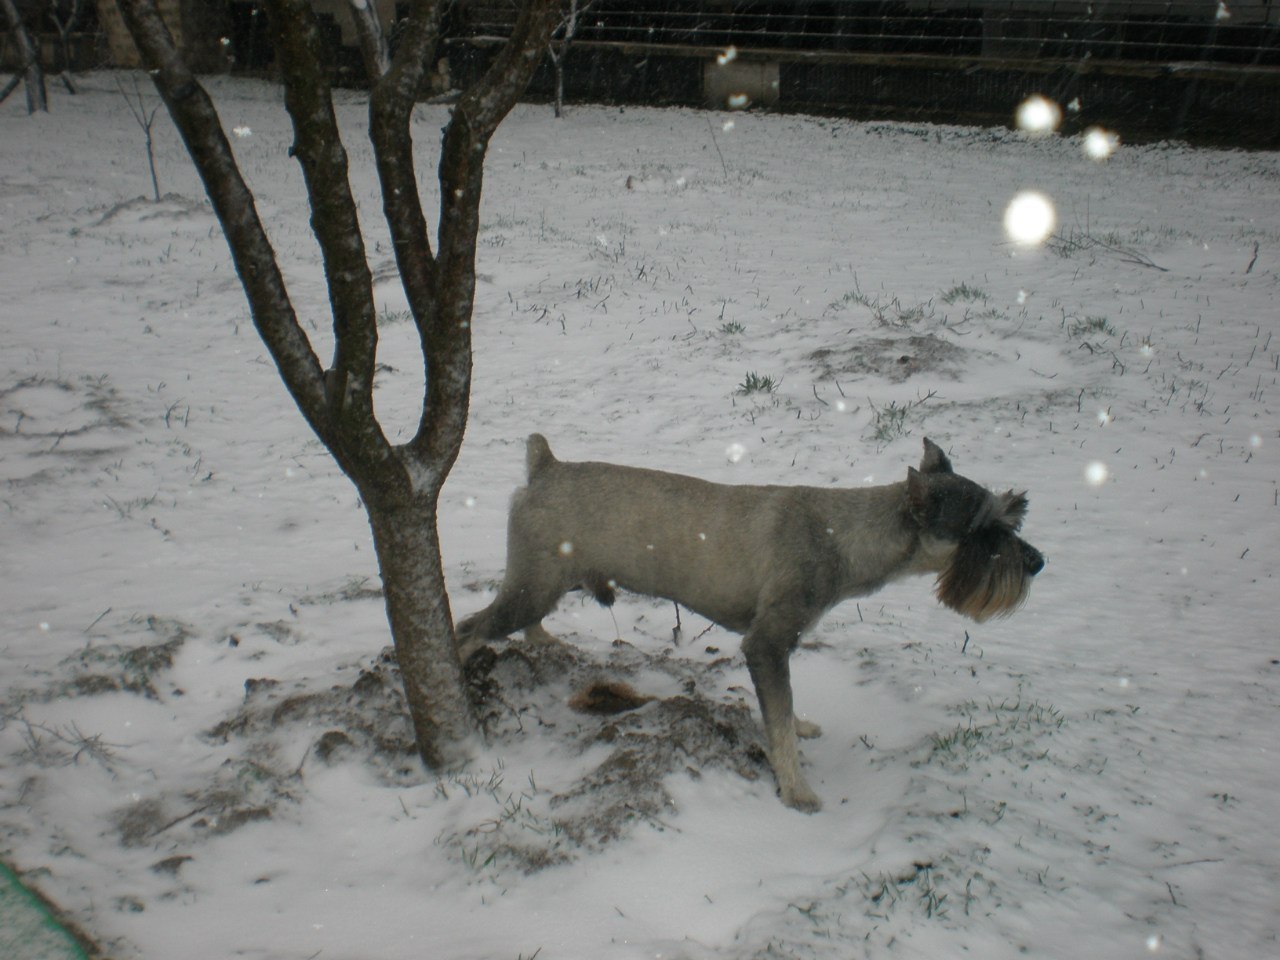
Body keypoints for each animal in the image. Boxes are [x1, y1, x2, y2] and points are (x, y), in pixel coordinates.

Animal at [455, 435, 1044, 814]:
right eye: (983, 532)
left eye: (1010, 518)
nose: (1037, 562)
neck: (845, 535)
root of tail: (544, 466)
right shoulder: (767, 644)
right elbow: (776, 719)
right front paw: (797, 789)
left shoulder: (781, 646)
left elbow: (785, 710)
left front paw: (801, 729)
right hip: (533, 585)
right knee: (471, 629)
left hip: (549, 584)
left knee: (522, 623)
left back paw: (543, 643)